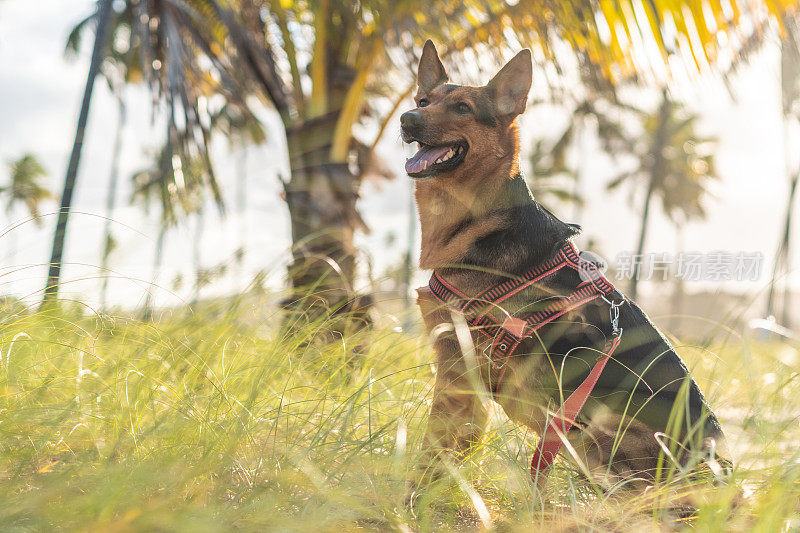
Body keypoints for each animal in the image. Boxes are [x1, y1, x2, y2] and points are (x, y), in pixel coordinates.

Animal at [404, 40, 736, 490]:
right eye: (424, 101)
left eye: (461, 108)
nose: (406, 118)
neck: (477, 217)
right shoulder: (466, 382)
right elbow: (452, 452)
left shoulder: (457, 371)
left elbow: (432, 454)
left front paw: (410, 498)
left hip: (597, 430)